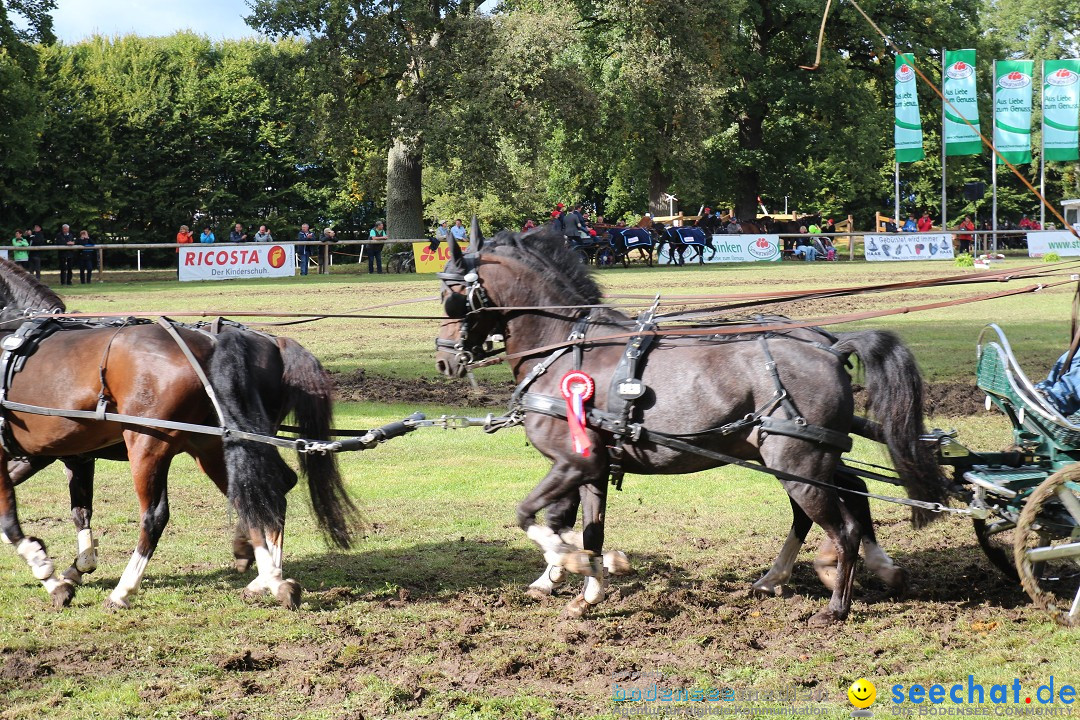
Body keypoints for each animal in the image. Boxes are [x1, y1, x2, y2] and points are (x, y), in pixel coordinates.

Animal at [0, 259, 356, 608]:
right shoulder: (70, 455)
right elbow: (80, 512)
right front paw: (75, 569)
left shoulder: (19, 455)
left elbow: (9, 521)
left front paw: (49, 575)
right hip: (217, 446)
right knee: (262, 492)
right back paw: (270, 579)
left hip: (148, 445)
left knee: (157, 515)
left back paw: (124, 591)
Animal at [436, 229, 946, 626]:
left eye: (451, 298)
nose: (443, 359)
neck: (562, 347)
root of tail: (831, 346)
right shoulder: (592, 468)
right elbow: (586, 529)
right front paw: (587, 590)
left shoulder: (572, 461)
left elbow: (531, 517)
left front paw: (573, 564)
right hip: (801, 458)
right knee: (840, 497)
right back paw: (801, 575)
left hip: (798, 461)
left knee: (844, 529)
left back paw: (835, 605)